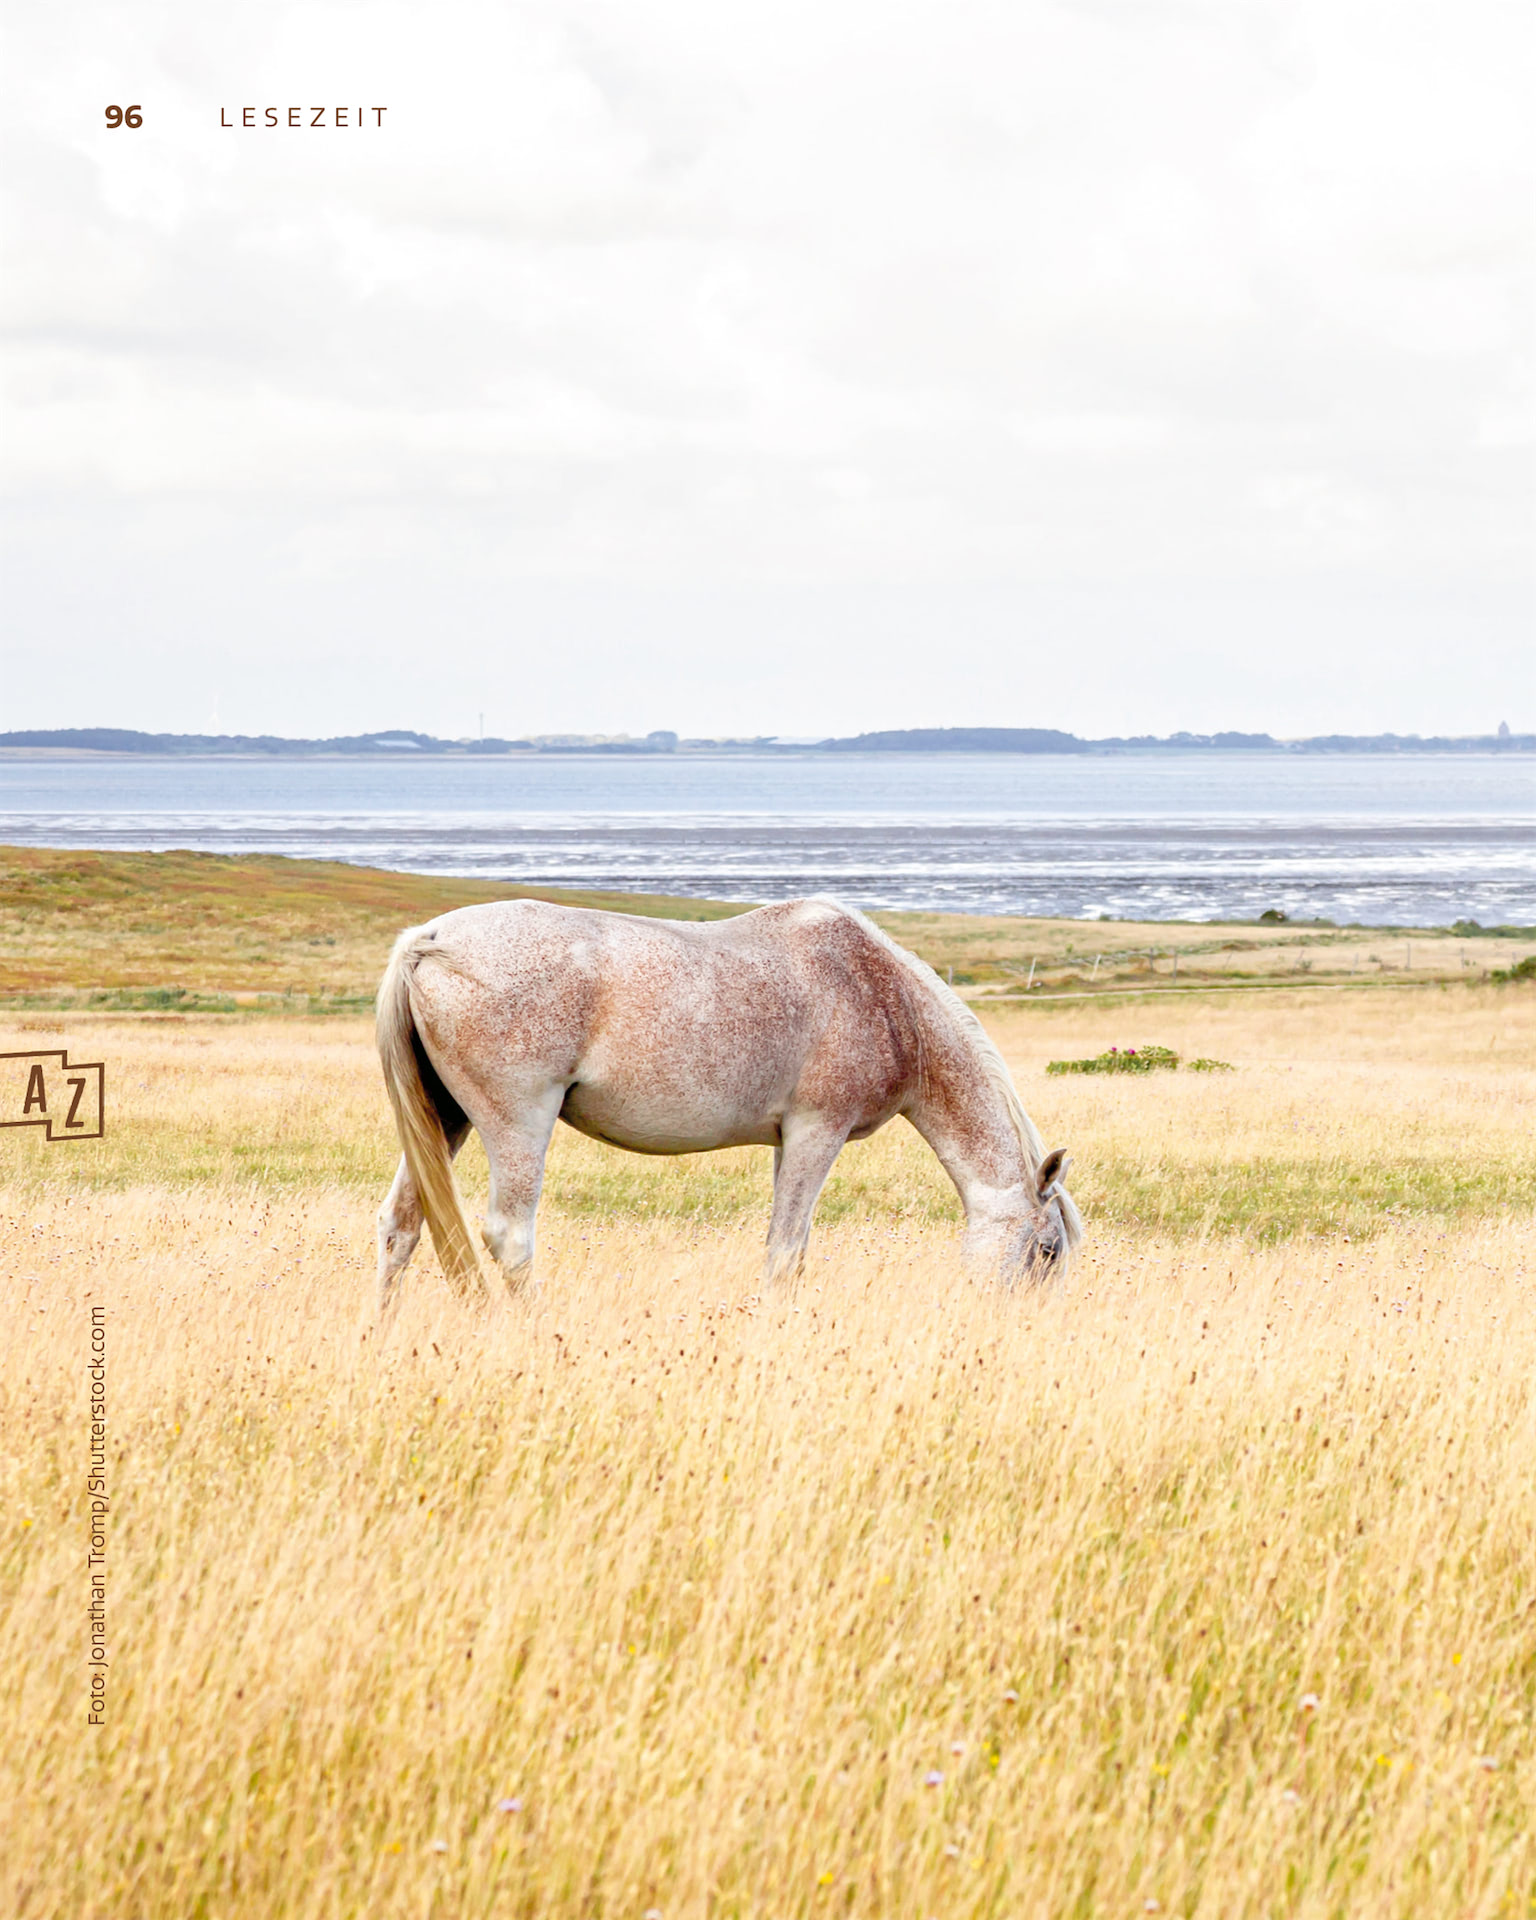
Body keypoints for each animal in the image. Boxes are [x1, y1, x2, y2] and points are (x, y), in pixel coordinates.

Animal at [374, 895, 1080, 1310]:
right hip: (516, 1124)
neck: (884, 998)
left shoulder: (788, 1143)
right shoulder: (816, 1134)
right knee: (510, 1236)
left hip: (447, 1120)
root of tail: (429, 939)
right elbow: (786, 1253)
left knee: (401, 1226)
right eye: (1047, 1251)